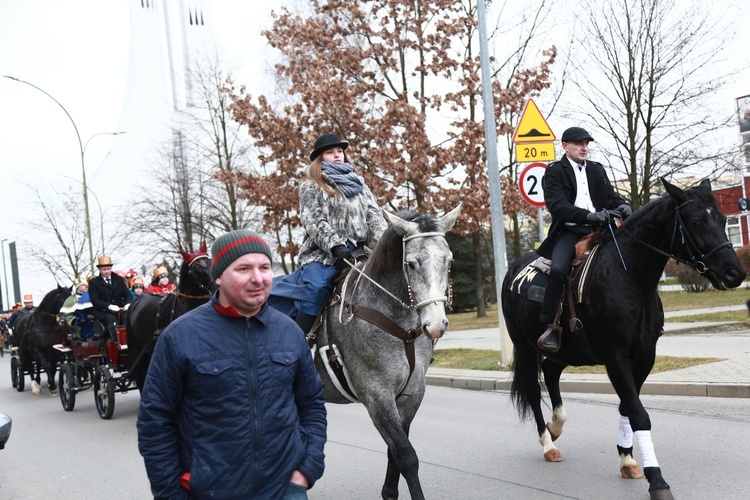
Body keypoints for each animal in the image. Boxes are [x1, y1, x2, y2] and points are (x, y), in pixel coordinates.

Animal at [312, 204, 464, 500]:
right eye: (412, 263)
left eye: (448, 260)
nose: (436, 324)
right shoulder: (377, 396)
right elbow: (406, 455)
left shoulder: (411, 393)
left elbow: (394, 452)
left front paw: (389, 492)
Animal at [502, 180, 748, 500]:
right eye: (696, 221)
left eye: (722, 220)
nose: (735, 273)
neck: (630, 277)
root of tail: (512, 270)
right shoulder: (615, 356)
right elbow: (639, 414)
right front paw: (657, 479)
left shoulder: (644, 357)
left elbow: (627, 408)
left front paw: (628, 458)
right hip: (525, 346)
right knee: (533, 388)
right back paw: (548, 443)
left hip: (569, 350)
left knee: (551, 370)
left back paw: (556, 425)